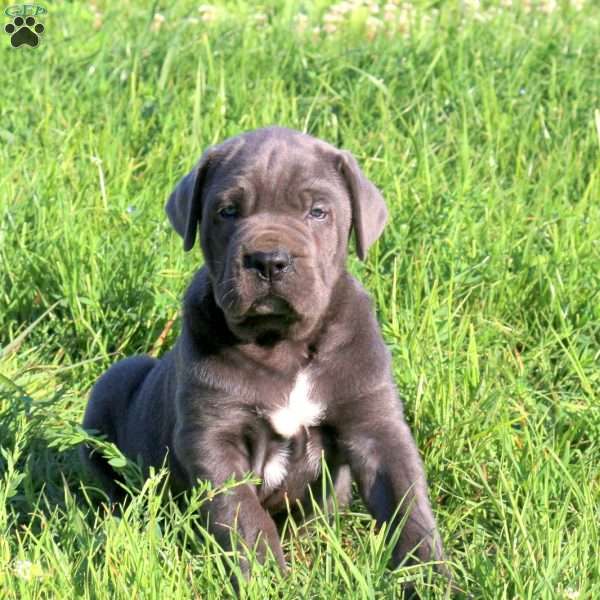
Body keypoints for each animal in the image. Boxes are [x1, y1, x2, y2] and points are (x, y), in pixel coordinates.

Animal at [79, 125, 448, 584]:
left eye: (318, 212)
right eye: (228, 211)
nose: (269, 260)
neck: (282, 345)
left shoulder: (376, 425)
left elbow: (407, 505)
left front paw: (429, 578)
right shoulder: (214, 438)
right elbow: (244, 518)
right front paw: (268, 577)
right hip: (112, 386)